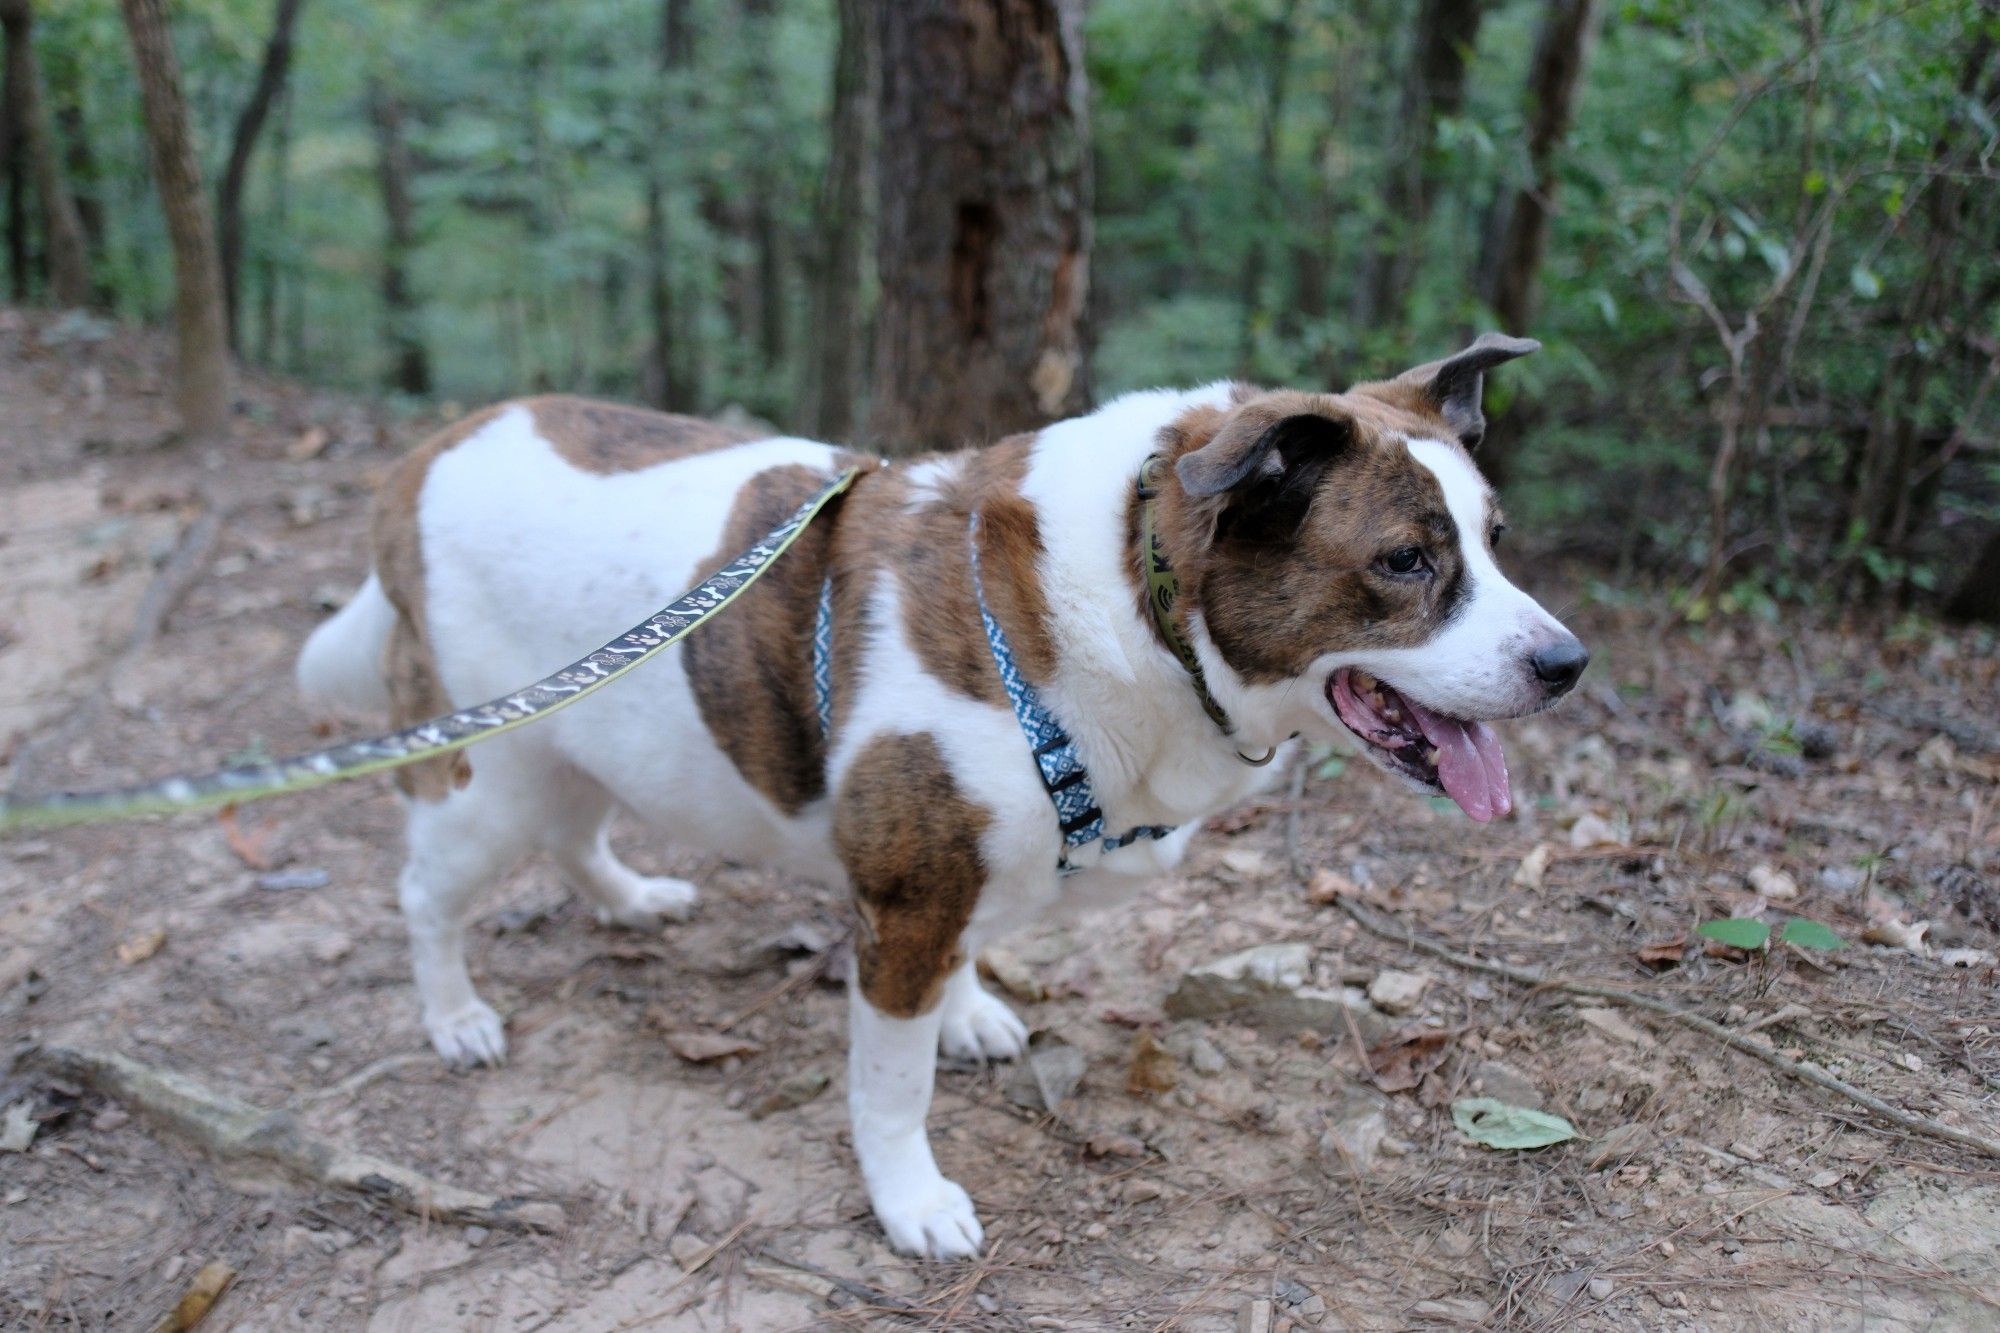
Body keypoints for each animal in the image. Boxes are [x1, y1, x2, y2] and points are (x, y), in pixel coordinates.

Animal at [296, 334, 1584, 1256]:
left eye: (1496, 540)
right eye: (1405, 564)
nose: (1565, 663)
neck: (1131, 598)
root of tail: (421, 458)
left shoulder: (962, 872)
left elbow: (968, 959)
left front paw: (967, 1012)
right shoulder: (907, 906)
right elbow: (889, 1086)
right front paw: (907, 1197)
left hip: (579, 744)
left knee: (576, 832)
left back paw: (626, 898)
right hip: (486, 777)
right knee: (425, 893)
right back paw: (453, 1011)